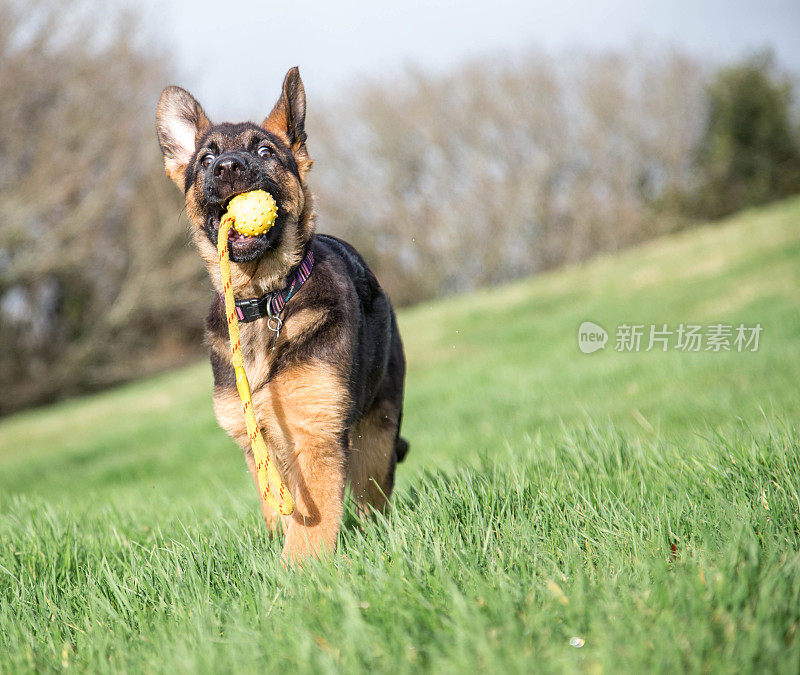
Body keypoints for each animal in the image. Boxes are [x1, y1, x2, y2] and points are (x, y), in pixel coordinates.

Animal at [156, 67, 406, 560]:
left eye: (264, 152)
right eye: (206, 159)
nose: (228, 167)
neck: (265, 300)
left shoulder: (316, 432)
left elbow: (309, 532)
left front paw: (299, 576)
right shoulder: (259, 444)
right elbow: (279, 514)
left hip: (377, 433)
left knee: (373, 498)